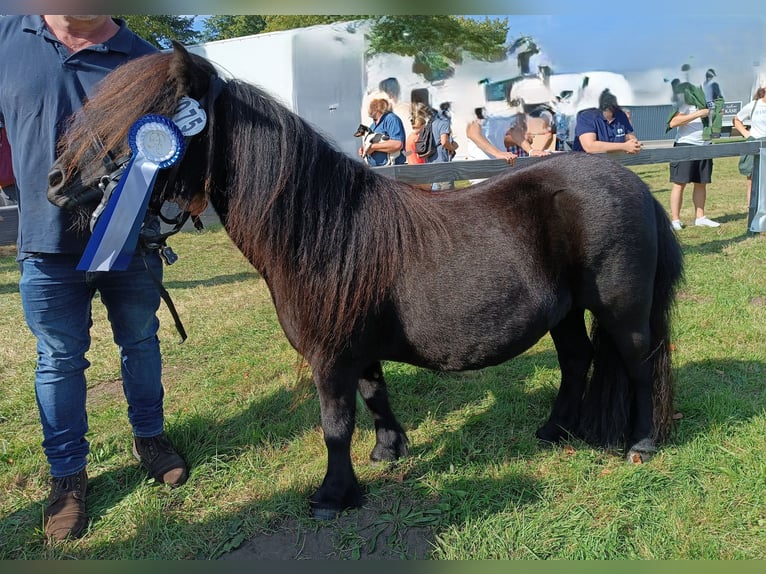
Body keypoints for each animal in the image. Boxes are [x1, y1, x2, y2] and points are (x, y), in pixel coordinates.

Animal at [48, 42, 684, 520]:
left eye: (139, 118)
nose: (56, 183)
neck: (322, 229)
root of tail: (635, 186)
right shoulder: (358, 347)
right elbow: (375, 396)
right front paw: (388, 452)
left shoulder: (329, 356)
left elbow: (335, 425)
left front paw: (333, 494)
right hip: (566, 312)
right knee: (577, 362)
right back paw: (554, 430)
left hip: (621, 309)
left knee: (637, 363)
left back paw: (640, 443)